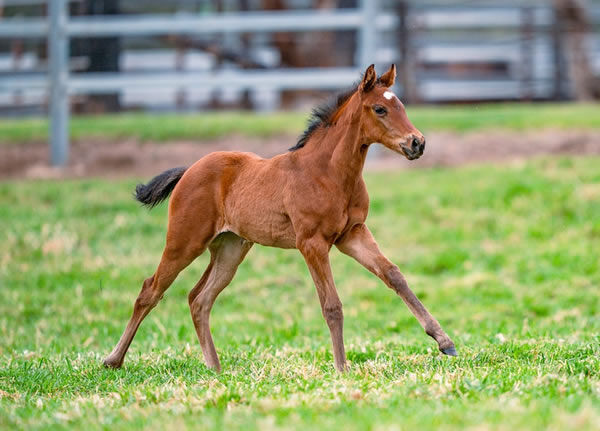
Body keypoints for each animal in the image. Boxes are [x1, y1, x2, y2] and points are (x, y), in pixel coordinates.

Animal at [105, 66, 458, 372]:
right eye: (380, 109)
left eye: (400, 105)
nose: (417, 143)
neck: (328, 172)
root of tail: (190, 169)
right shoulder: (311, 243)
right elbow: (331, 304)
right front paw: (342, 367)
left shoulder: (352, 234)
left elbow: (394, 276)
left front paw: (445, 341)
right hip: (184, 241)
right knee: (150, 291)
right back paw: (113, 360)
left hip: (231, 248)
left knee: (199, 299)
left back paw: (215, 368)